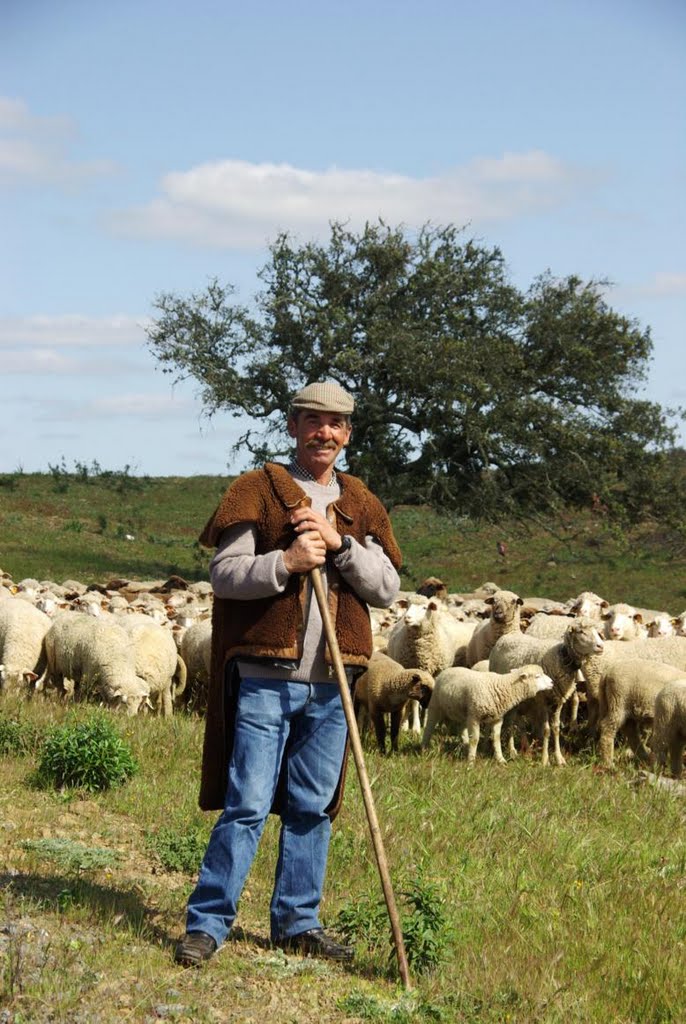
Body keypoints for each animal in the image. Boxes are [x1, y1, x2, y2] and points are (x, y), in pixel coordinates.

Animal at [421, 667, 556, 765]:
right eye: (537, 676)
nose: (552, 682)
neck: (502, 686)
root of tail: (447, 670)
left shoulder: (497, 718)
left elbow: (496, 738)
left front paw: (501, 759)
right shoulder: (475, 717)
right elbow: (475, 739)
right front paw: (471, 761)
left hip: (464, 712)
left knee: (462, 730)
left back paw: (465, 746)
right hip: (436, 705)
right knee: (429, 727)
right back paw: (424, 748)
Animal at [489, 614, 606, 770]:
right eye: (581, 632)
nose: (601, 646)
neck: (561, 659)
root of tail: (506, 636)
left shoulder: (558, 700)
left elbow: (555, 729)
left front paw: (559, 758)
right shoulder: (542, 700)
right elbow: (546, 730)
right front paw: (545, 760)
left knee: (518, 720)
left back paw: (525, 747)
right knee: (511, 721)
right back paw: (513, 750)